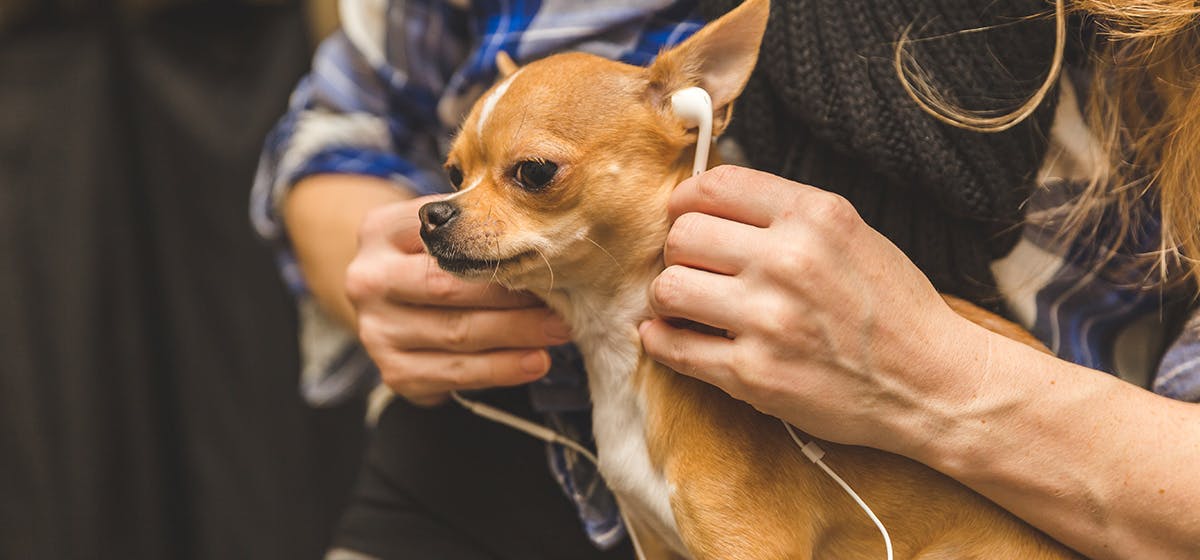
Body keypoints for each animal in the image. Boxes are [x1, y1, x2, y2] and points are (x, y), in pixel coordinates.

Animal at [420, 2, 1080, 558]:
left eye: (534, 172)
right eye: (453, 173)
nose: (431, 214)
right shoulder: (652, 541)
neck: (616, 349)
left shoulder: (747, 543)